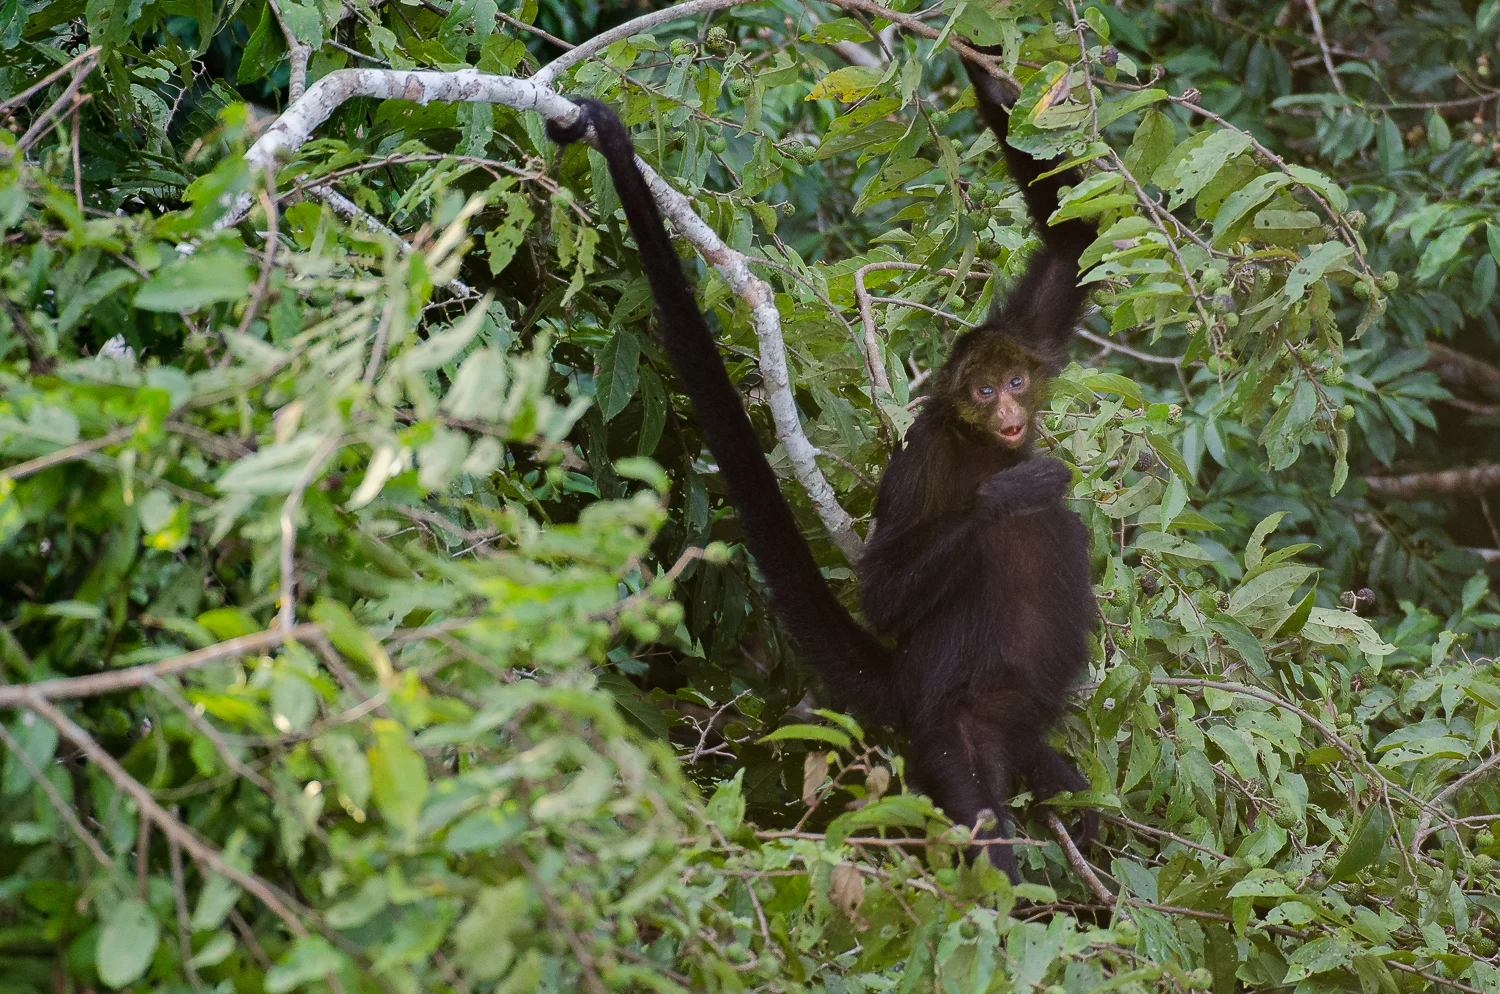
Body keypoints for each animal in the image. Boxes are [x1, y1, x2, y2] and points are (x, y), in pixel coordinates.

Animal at [547, 55, 1098, 882]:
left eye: (1015, 381)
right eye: (980, 391)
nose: (1007, 407)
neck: (978, 445)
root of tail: (912, 688)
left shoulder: (1025, 332)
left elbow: (1071, 243)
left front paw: (983, 71)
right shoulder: (925, 460)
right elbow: (886, 596)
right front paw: (1008, 495)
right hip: (952, 733)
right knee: (982, 838)